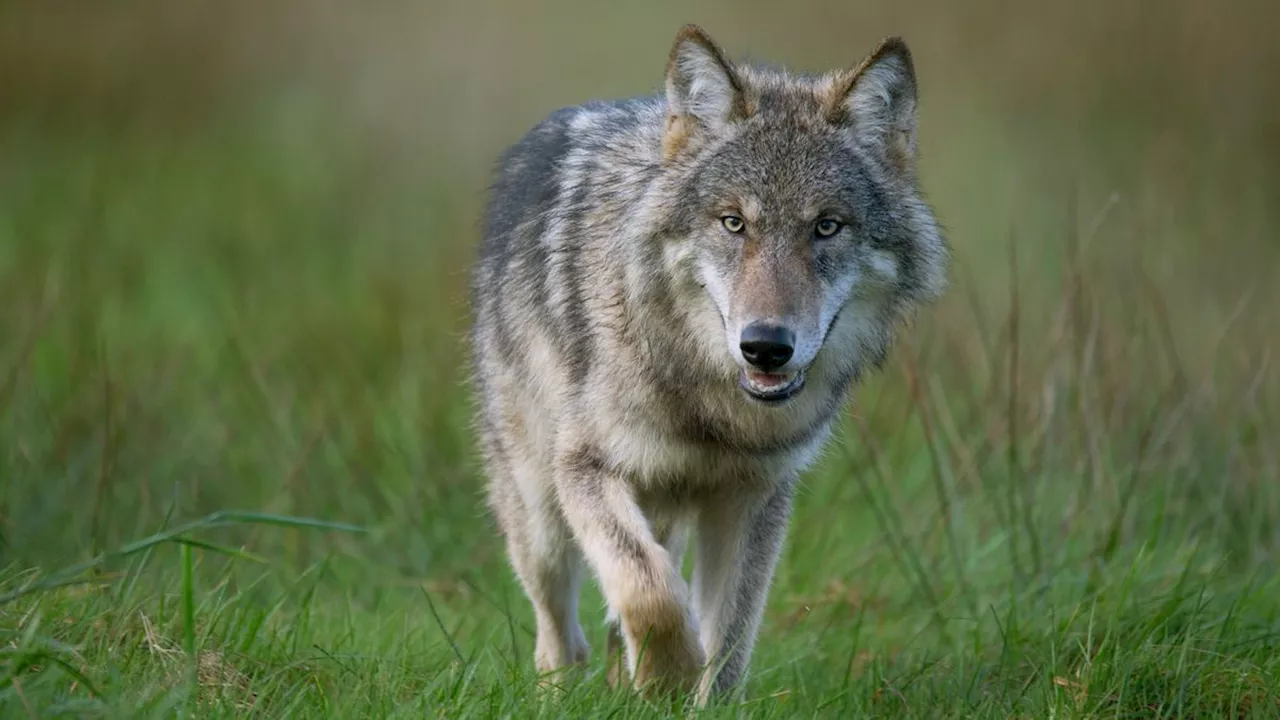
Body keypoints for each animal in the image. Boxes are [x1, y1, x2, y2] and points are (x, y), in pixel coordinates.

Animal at [471, 20, 952, 702]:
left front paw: (693, 692)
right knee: (561, 636)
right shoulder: (585, 468)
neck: (712, 408)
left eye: (827, 227)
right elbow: (649, 592)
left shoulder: (754, 494)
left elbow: (729, 639)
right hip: (539, 514)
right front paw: (670, 675)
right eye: (733, 223)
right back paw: (560, 695)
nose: (766, 345)